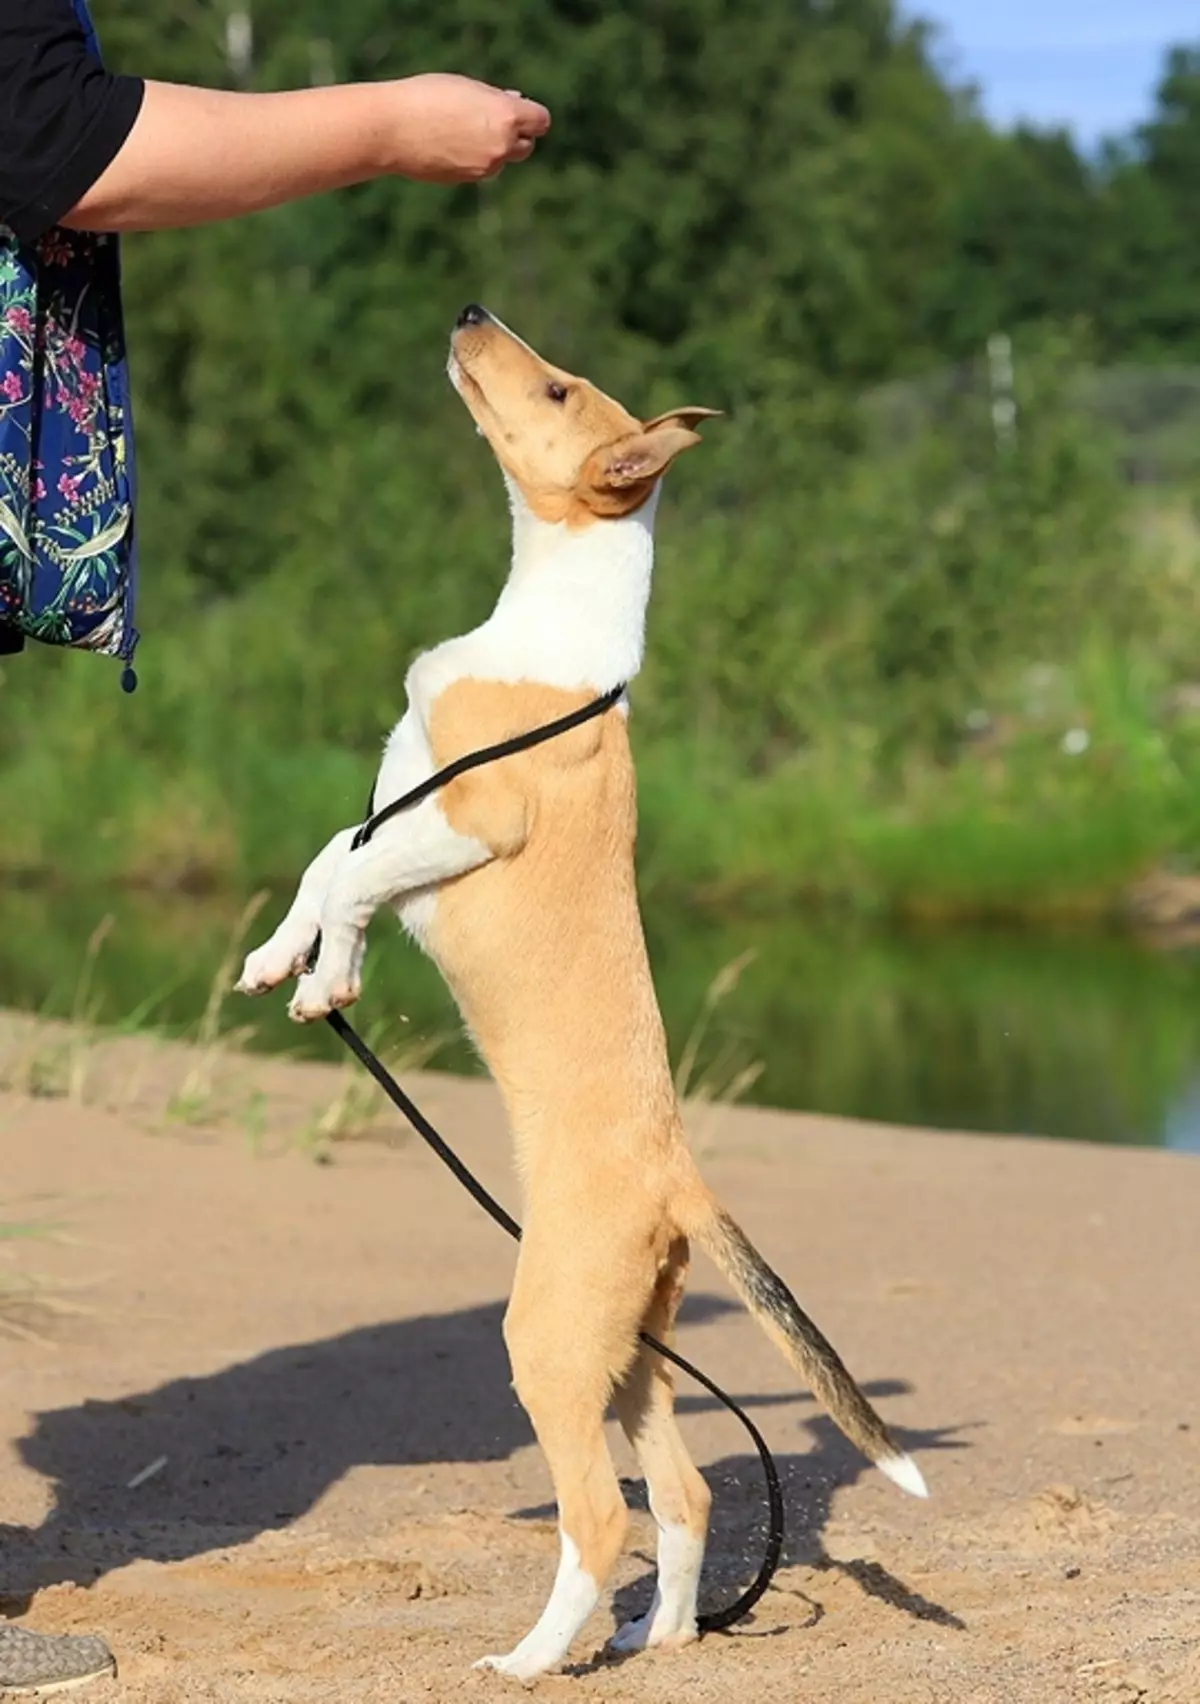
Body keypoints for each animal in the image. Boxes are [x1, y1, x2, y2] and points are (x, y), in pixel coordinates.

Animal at [236, 306, 927, 1676]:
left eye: (557, 386)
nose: (467, 313)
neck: (547, 628)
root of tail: (682, 1178)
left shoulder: (470, 816)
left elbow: (355, 868)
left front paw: (324, 966)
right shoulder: (399, 797)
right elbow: (329, 859)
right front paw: (295, 966)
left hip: (553, 1344)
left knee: (602, 1518)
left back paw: (531, 1659)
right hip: (632, 1351)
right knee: (688, 1494)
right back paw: (659, 1640)